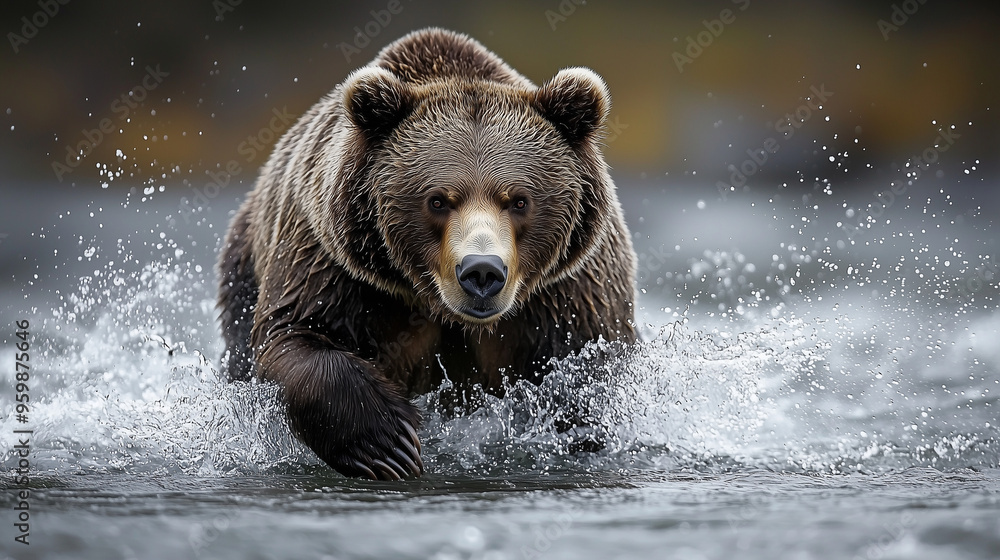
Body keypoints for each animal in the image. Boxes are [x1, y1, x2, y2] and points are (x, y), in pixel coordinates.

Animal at [217, 27, 637, 480]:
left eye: (519, 200)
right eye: (437, 200)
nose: (482, 272)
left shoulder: (569, 289)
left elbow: (583, 367)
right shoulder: (334, 262)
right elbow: (294, 335)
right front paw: (389, 443)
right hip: (244, 266)